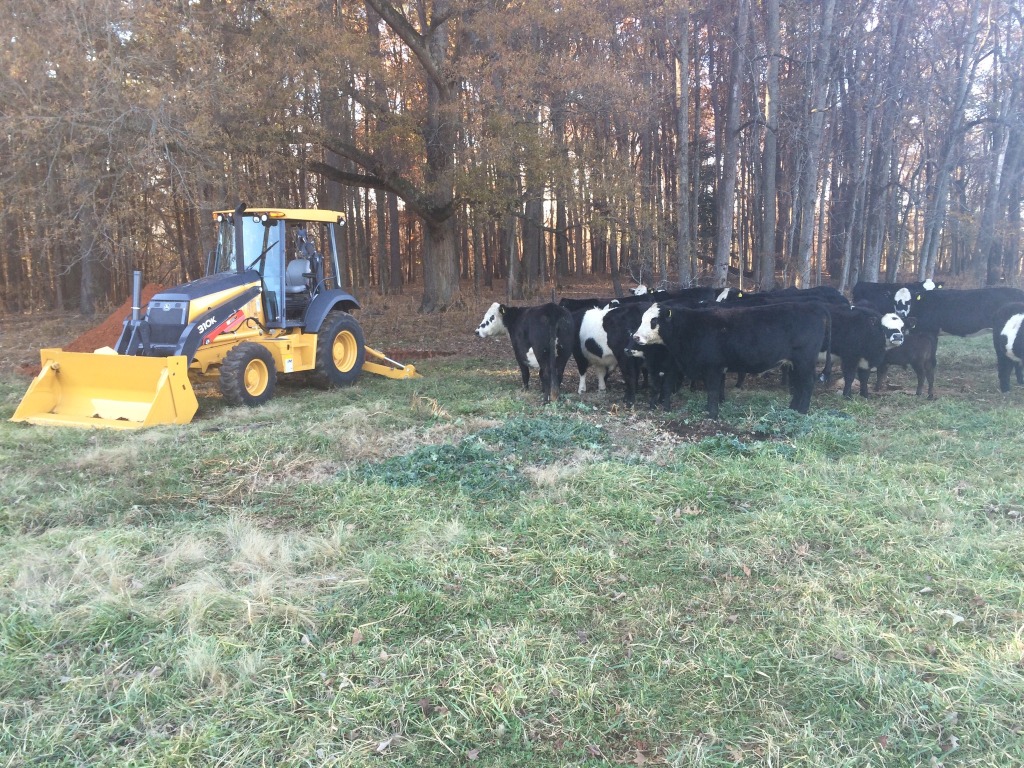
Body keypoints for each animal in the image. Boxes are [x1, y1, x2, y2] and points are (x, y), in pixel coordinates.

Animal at [630, 303, 831, 421]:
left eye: (654, 321)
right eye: (641, 319)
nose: (636, 337)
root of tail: (815, 309)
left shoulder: (713, 367)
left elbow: (712, 391)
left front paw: (712, 414)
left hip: (805, 360)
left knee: (807, 383)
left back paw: (802, 411)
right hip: (795, 363)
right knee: (798, 384)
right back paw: (793, 409)